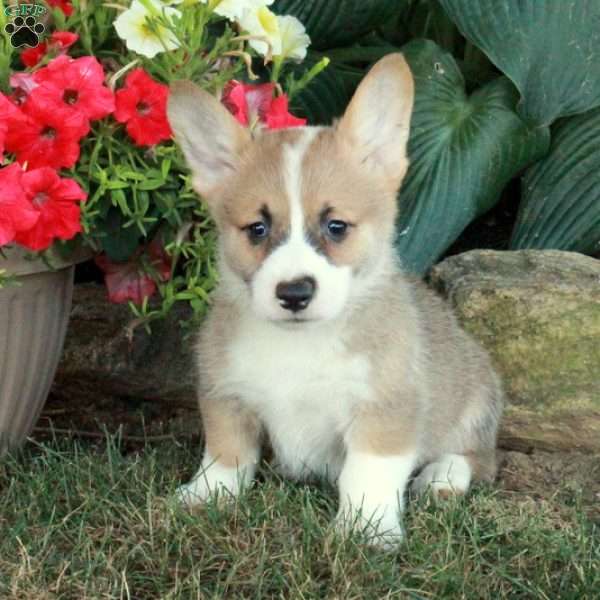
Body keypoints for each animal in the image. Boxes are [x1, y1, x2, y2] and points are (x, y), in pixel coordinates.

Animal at [166, 54, 504, 548]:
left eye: (336, 226)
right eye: (257, 229)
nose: (294, 293)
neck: (300, 343)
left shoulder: (384, 410)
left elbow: (367, 473)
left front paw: (367, 528)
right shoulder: (225, 392)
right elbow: (227, 451)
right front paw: (206, 494)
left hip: (476, 403)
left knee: (477, 458)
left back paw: (442, 478)